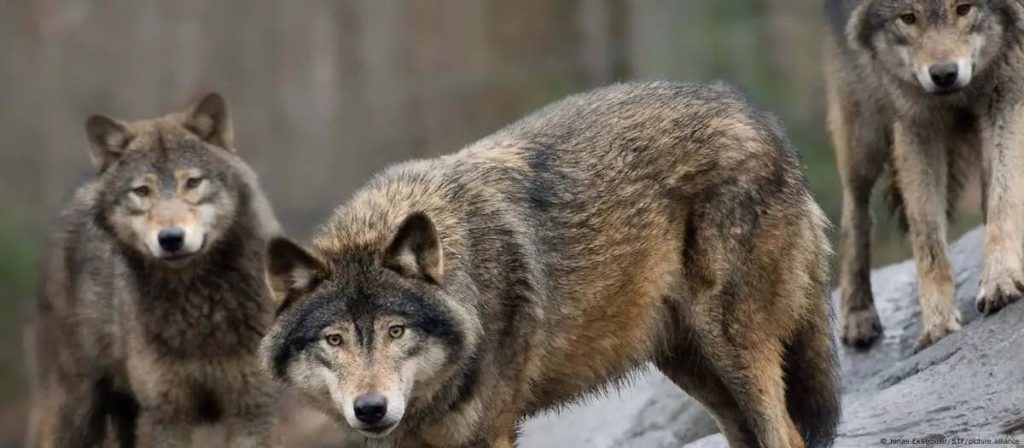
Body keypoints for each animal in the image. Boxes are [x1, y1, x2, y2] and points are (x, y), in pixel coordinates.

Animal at [26, 94, 282, 447]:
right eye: (142, 191)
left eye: (192, 182)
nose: (171, 239)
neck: (196, 307)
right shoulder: (165, 415)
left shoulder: (253, 409)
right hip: (76, 410)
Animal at [260, 82, 841, 448]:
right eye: (334, 339)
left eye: (395, 331)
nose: (371, 408)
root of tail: (764, 121)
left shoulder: (489, 432)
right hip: (690, 363)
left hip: (731, 343)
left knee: (787, 434)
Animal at [826, 0, 1024, 350]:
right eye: (908, 18)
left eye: (964, 8)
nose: (944, 75)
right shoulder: (914, 119)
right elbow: (927, 235)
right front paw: (938, 323)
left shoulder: (1007, 89)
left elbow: (1005, 195)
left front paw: (1000, 279)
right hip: (863, 128)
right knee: (854, 209)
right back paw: (857, 314)